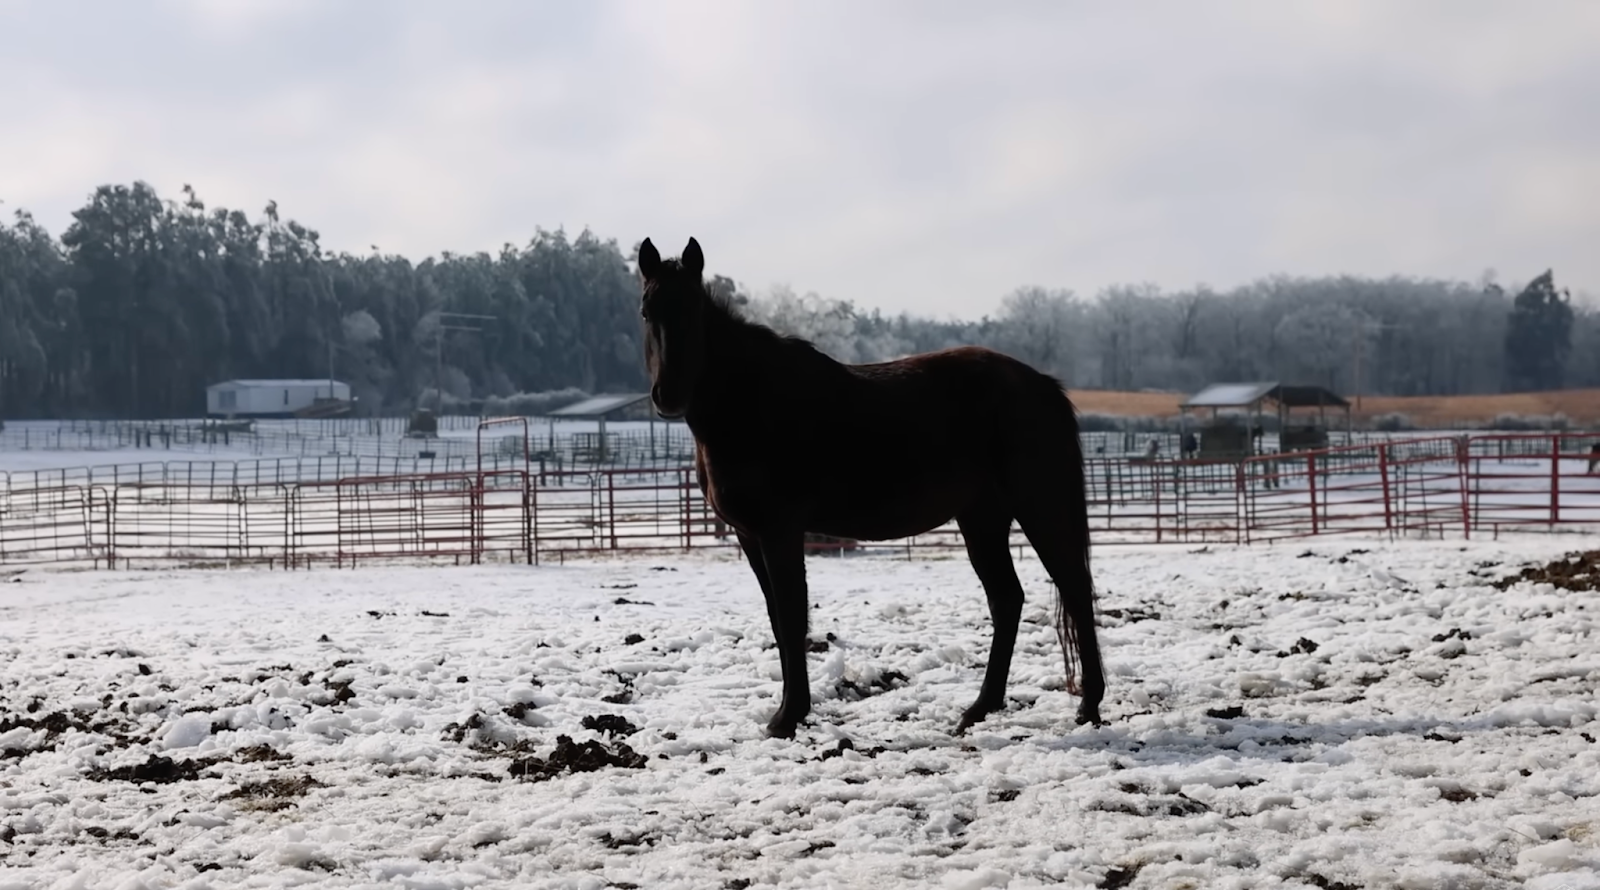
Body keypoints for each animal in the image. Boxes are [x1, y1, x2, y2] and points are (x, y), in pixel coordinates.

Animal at [637, 237, 1105, 739]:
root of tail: (1042, 386)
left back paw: (1088, 706)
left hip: (1038, 507)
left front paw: (789, 716)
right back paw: (978, 709)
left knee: (1075, 591)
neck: (751, 401)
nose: (669, 395)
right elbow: (778, 621)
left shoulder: (780, 531)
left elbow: (792, 618)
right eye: (646, 310)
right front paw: (787, 712)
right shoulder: (749, 535)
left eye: (693, 310)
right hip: (982, 517)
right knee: (1007, 600)